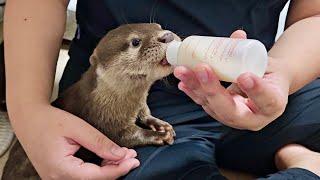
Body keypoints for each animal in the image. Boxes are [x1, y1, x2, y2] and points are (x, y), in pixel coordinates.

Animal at [1, 23, 180, 179]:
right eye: (135, 41)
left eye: (158, 26)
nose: (167, 35)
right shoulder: (106, 122)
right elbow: (126, 137)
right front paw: (158, 135)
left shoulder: (141, 104)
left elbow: (145, 114)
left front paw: (160, 125)